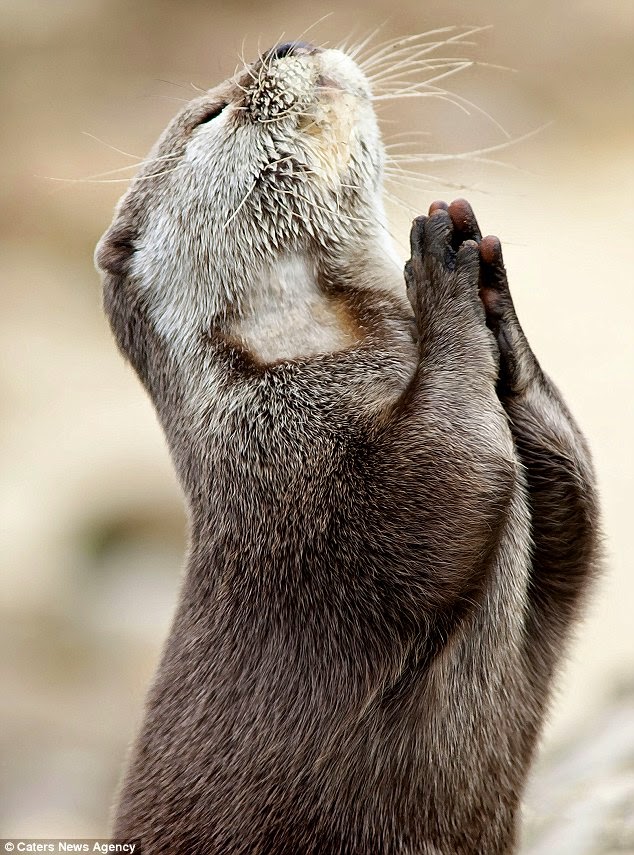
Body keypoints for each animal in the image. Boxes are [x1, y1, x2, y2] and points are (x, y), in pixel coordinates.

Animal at [94, 40, 596, 855]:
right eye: (212, 113)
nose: (285, 45)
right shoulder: (297, 478)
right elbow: (446, 476)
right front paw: (442, 273)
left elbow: (576, 511)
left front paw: (493, 295)